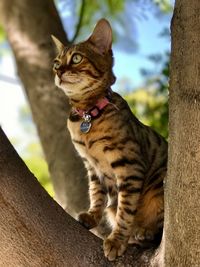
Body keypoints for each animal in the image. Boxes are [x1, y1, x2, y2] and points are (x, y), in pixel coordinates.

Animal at [51, 18, 167, 262]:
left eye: (76, 58)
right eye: (56, 63)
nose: (59, 72)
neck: (87, 115)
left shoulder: (129, 166)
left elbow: (125, 209)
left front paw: (116, 240)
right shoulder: (92, 167)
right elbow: (97, 195)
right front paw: (93, 216)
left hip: (159, 186)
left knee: (157, 227)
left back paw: (143, 232)